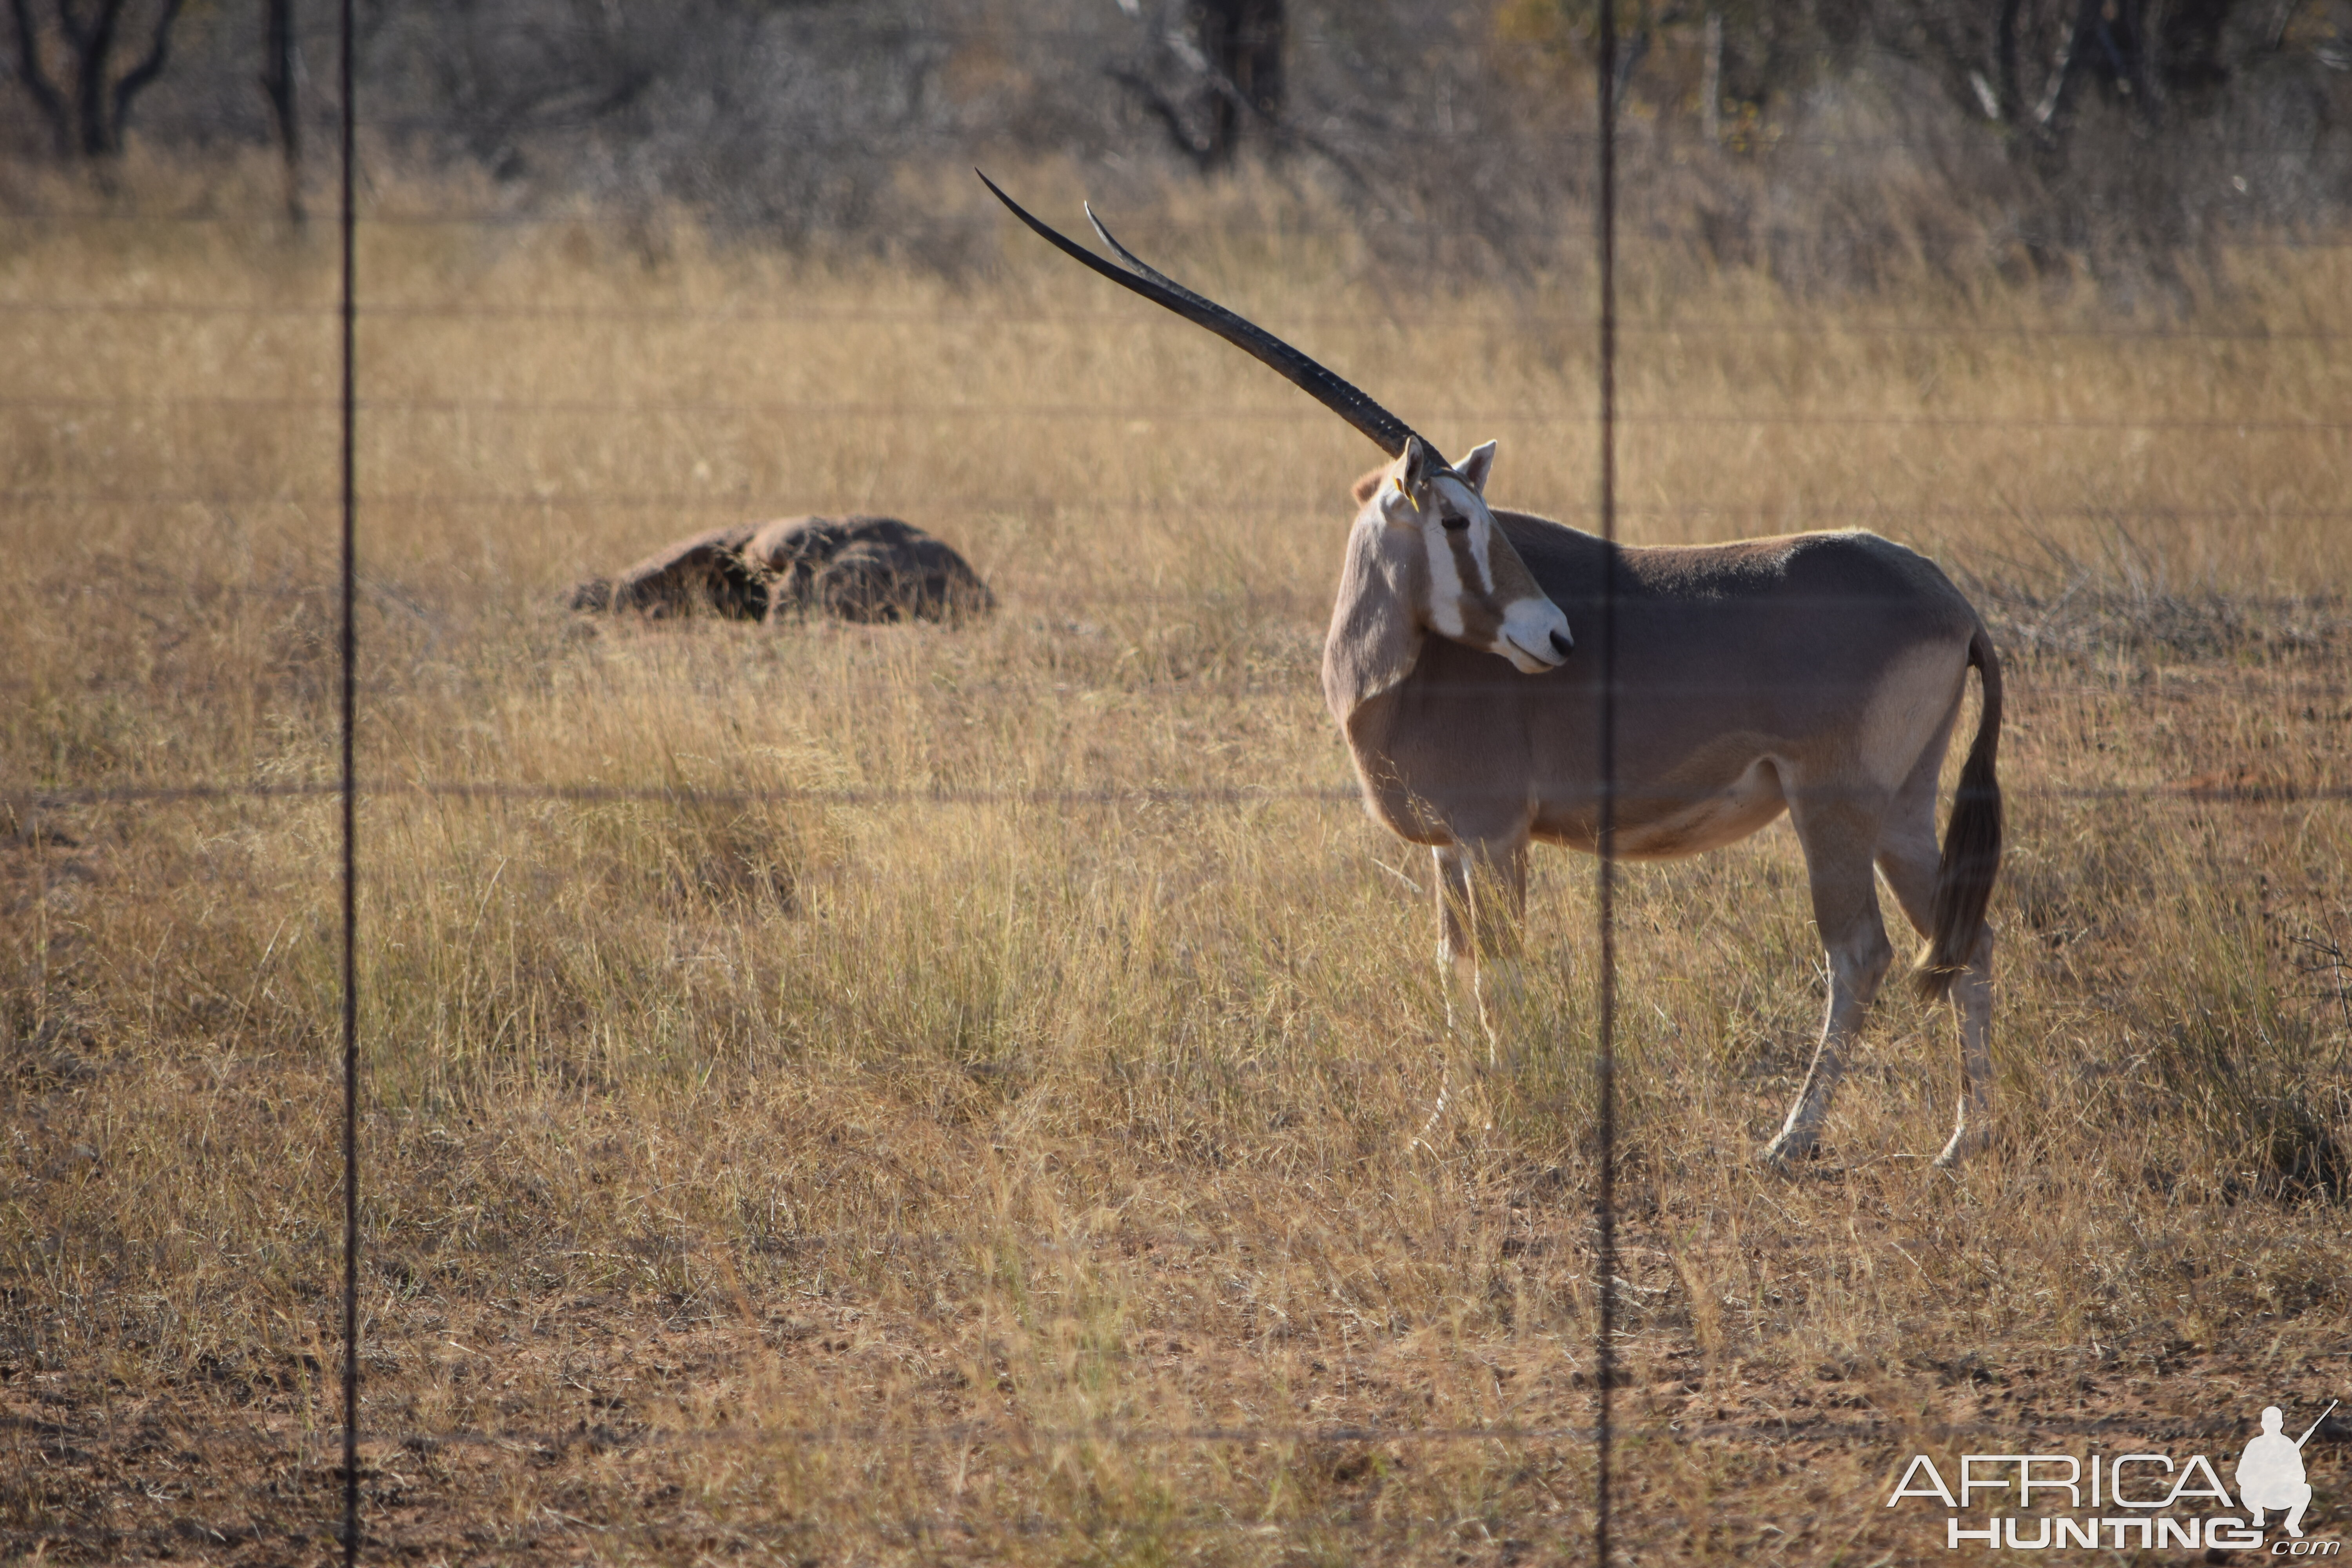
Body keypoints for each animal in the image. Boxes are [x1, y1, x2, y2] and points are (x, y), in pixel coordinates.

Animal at [978, 177, 2004, 1171]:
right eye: (1455, 518)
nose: (1555, 637)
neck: (1403, 670)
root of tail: (1948, 599)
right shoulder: (1445, 846)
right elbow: (1452, 971)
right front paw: (1440, 1124)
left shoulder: (1496, 831)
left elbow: (1501, 980)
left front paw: (1504, 1118)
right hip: (1901, 808)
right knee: (1963, 937)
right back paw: (1962, 1141)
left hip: (1830, 804)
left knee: (1860, 952)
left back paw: (1793, 1140)